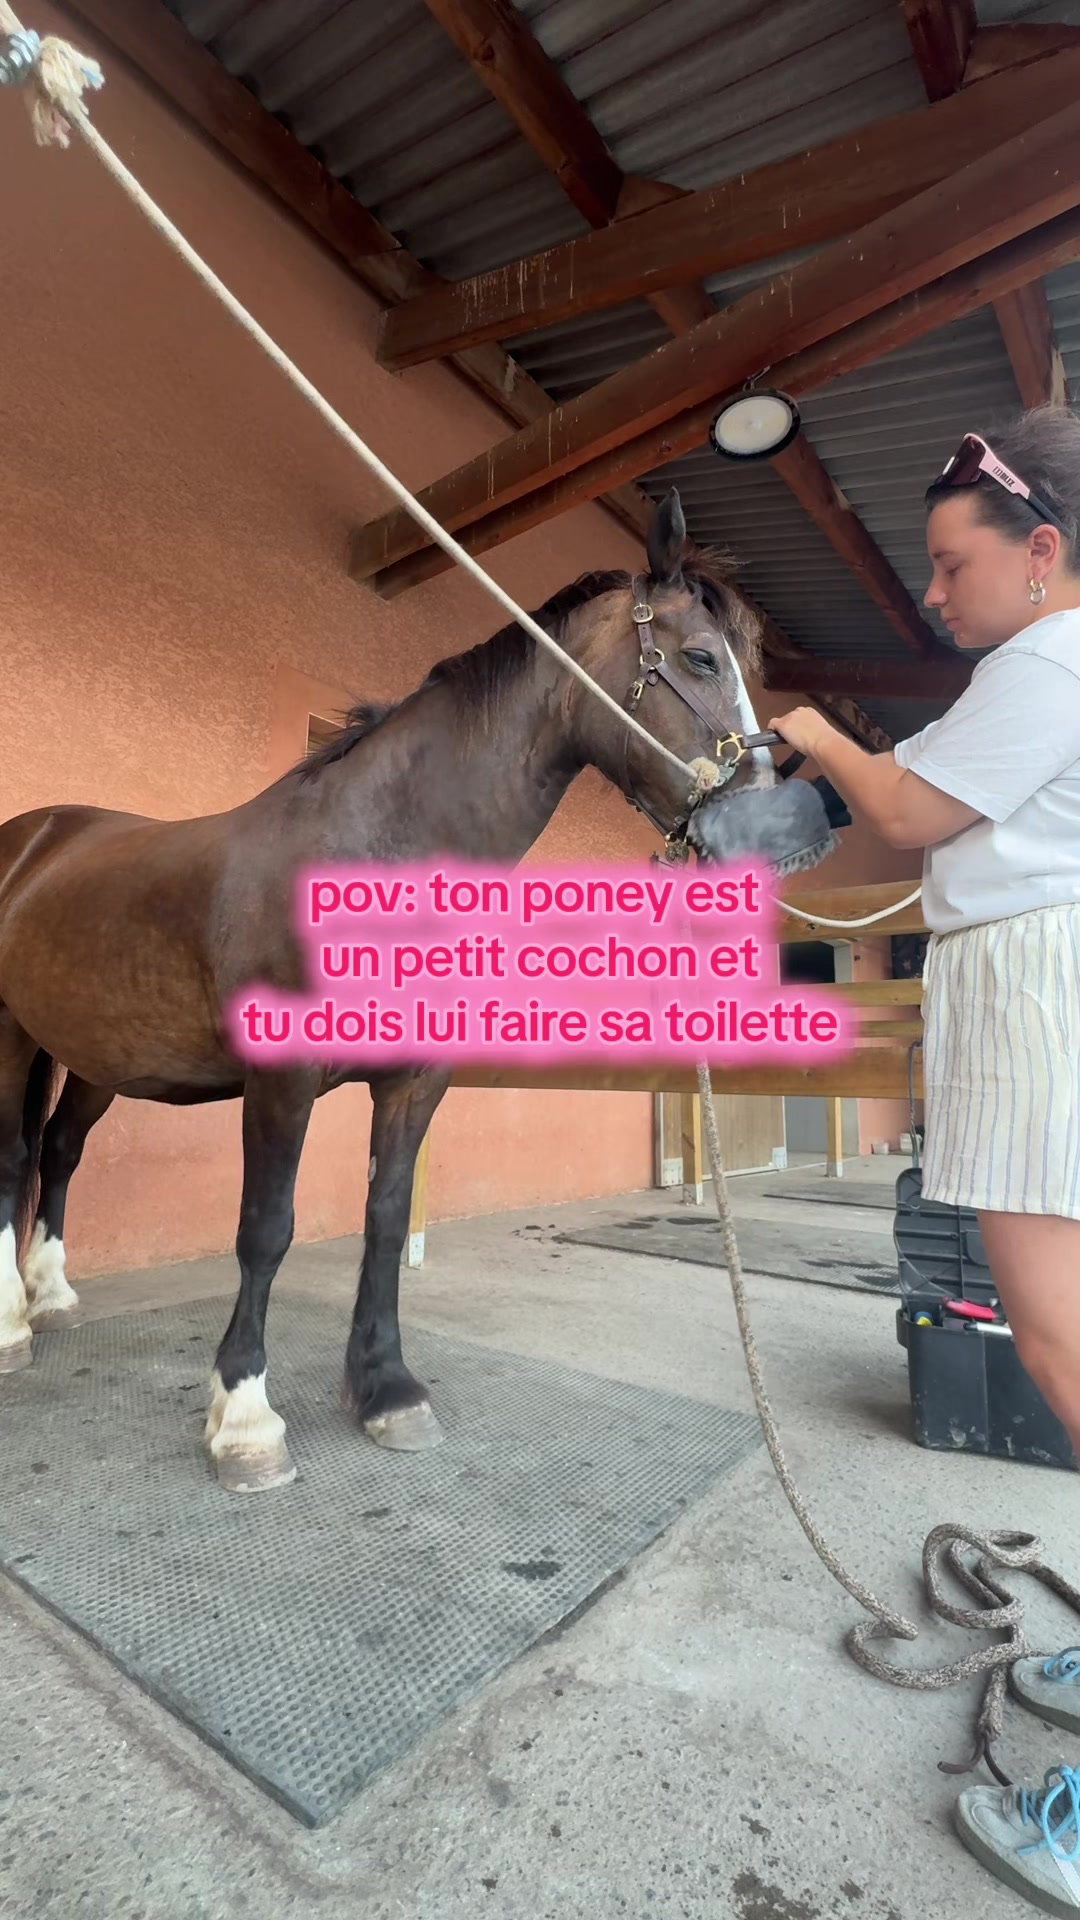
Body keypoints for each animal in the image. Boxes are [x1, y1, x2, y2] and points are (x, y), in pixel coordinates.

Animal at [0, 489, 788, 1494]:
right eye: (698, 658)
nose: (768, 827)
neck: (374, 847)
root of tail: (36, 836)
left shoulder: (416, 1080)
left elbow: (382, 1217)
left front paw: (385, 1390)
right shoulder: (282, 1081)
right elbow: (266, 1228)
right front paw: (245, 1421)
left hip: (96, 1054)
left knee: (59, 1151)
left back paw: (52, 1295)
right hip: (10, 1034)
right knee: (14, 1159)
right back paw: (11, 1326)